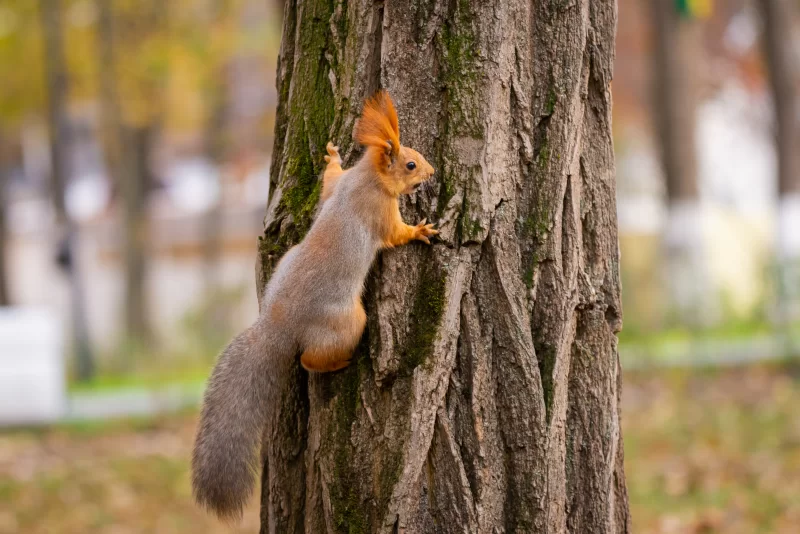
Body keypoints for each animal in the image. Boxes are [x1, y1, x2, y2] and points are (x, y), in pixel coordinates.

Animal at [191, 90, 438, 520]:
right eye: (410, 164)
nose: (433, 171)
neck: (368, 177)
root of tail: (278, 325)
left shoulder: (339, 187)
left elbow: (329, 182)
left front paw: (332, 156)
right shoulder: (379, 211)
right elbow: (395, 235)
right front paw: (421, 229)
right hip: (348, 321)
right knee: (309, 360)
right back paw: (338, 363)